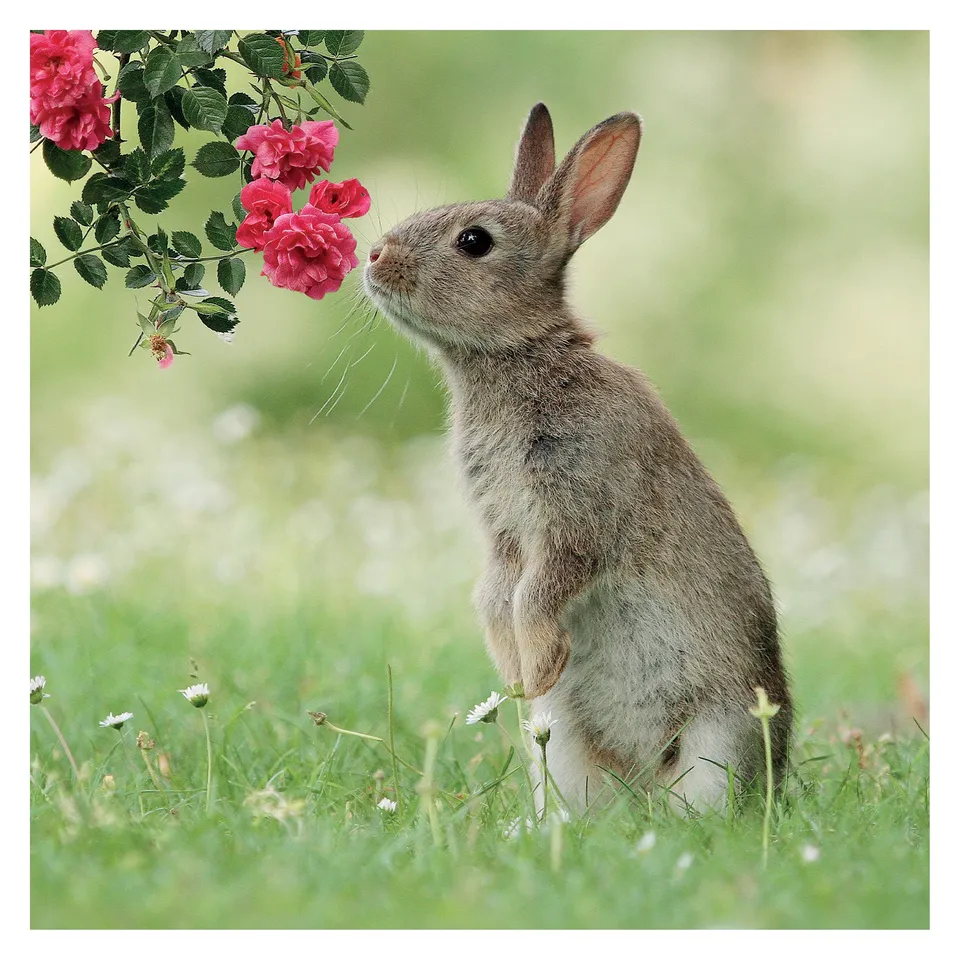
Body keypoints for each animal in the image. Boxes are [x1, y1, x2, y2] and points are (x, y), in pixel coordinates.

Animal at [363, 103, 792, 814]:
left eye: (473, 242)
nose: (373, 255)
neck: (522, 356)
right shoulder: (505, 534)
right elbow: (495, 594)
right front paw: (518, 676)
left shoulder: (577, 509)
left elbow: (541, 590)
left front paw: (535, 669)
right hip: (562, 743)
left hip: (719, 736)